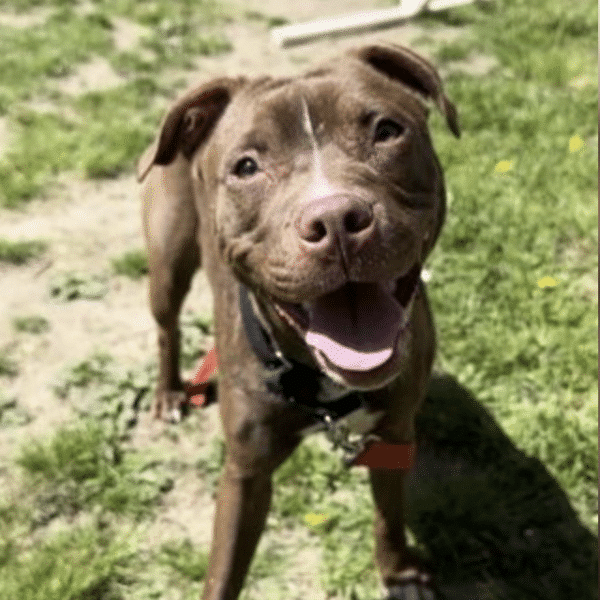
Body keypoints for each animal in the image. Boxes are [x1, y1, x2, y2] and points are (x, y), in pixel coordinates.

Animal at [139, 44, 460, 600]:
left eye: (386, 130)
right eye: (247, 166)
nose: (335, 221)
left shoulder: (395, 435)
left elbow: (389, 514)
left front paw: (399, 573)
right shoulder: (246, 475)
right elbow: (224, 572)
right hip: (167, 263)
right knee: (167, 327)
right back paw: (169, 393)